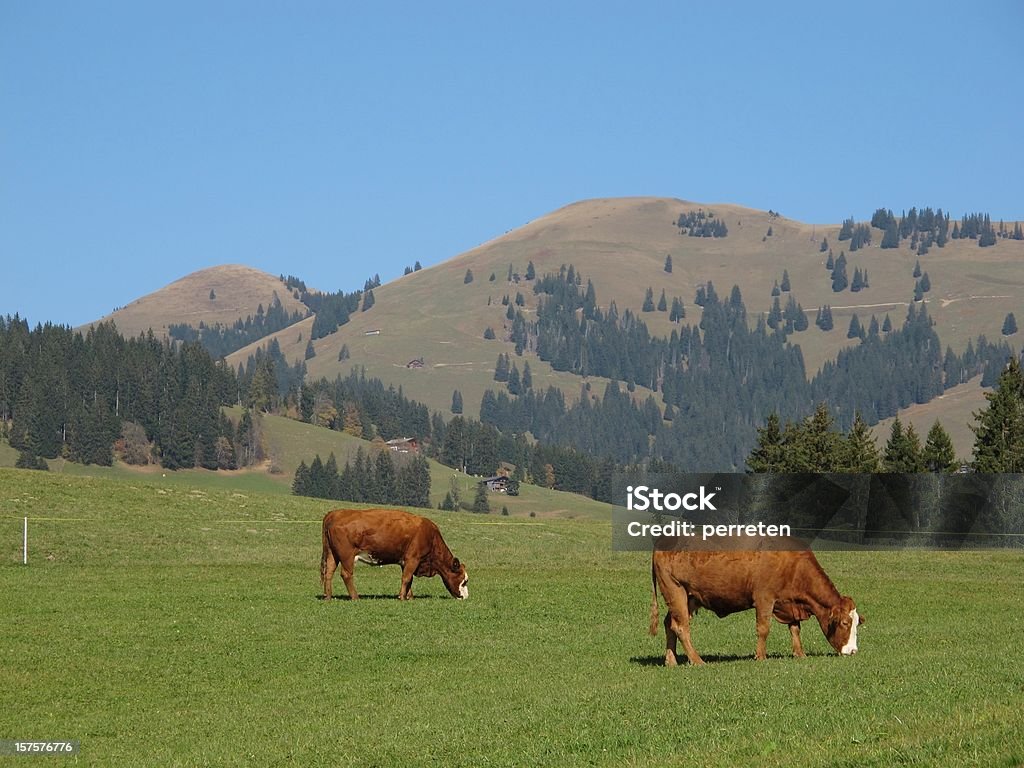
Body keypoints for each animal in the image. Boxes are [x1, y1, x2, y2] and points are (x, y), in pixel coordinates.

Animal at [319, 512, 468, 602]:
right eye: (464, 581)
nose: (466, 597)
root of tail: (336, 513)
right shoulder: (413, 558)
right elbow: (406, 578)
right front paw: (401, 597)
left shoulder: (406, 561)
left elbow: (409, 579)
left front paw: (409, 597)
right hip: (347, 556)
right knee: (346, 574)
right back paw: (355, 597)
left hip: (332, 554)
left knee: (329, 573)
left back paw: (328, 596)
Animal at [647, 536, 864, 663]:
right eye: (845, 623)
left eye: (857, 623)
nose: (853, 650)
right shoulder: (764, 598)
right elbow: (763, 629)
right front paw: (760, 656)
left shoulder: (788, 603)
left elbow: (795, 628)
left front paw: (799, 653)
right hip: (676, 591)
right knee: (681, 627)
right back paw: (697, 660)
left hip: (687, 598)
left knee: (669, 624)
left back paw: (671, 660)